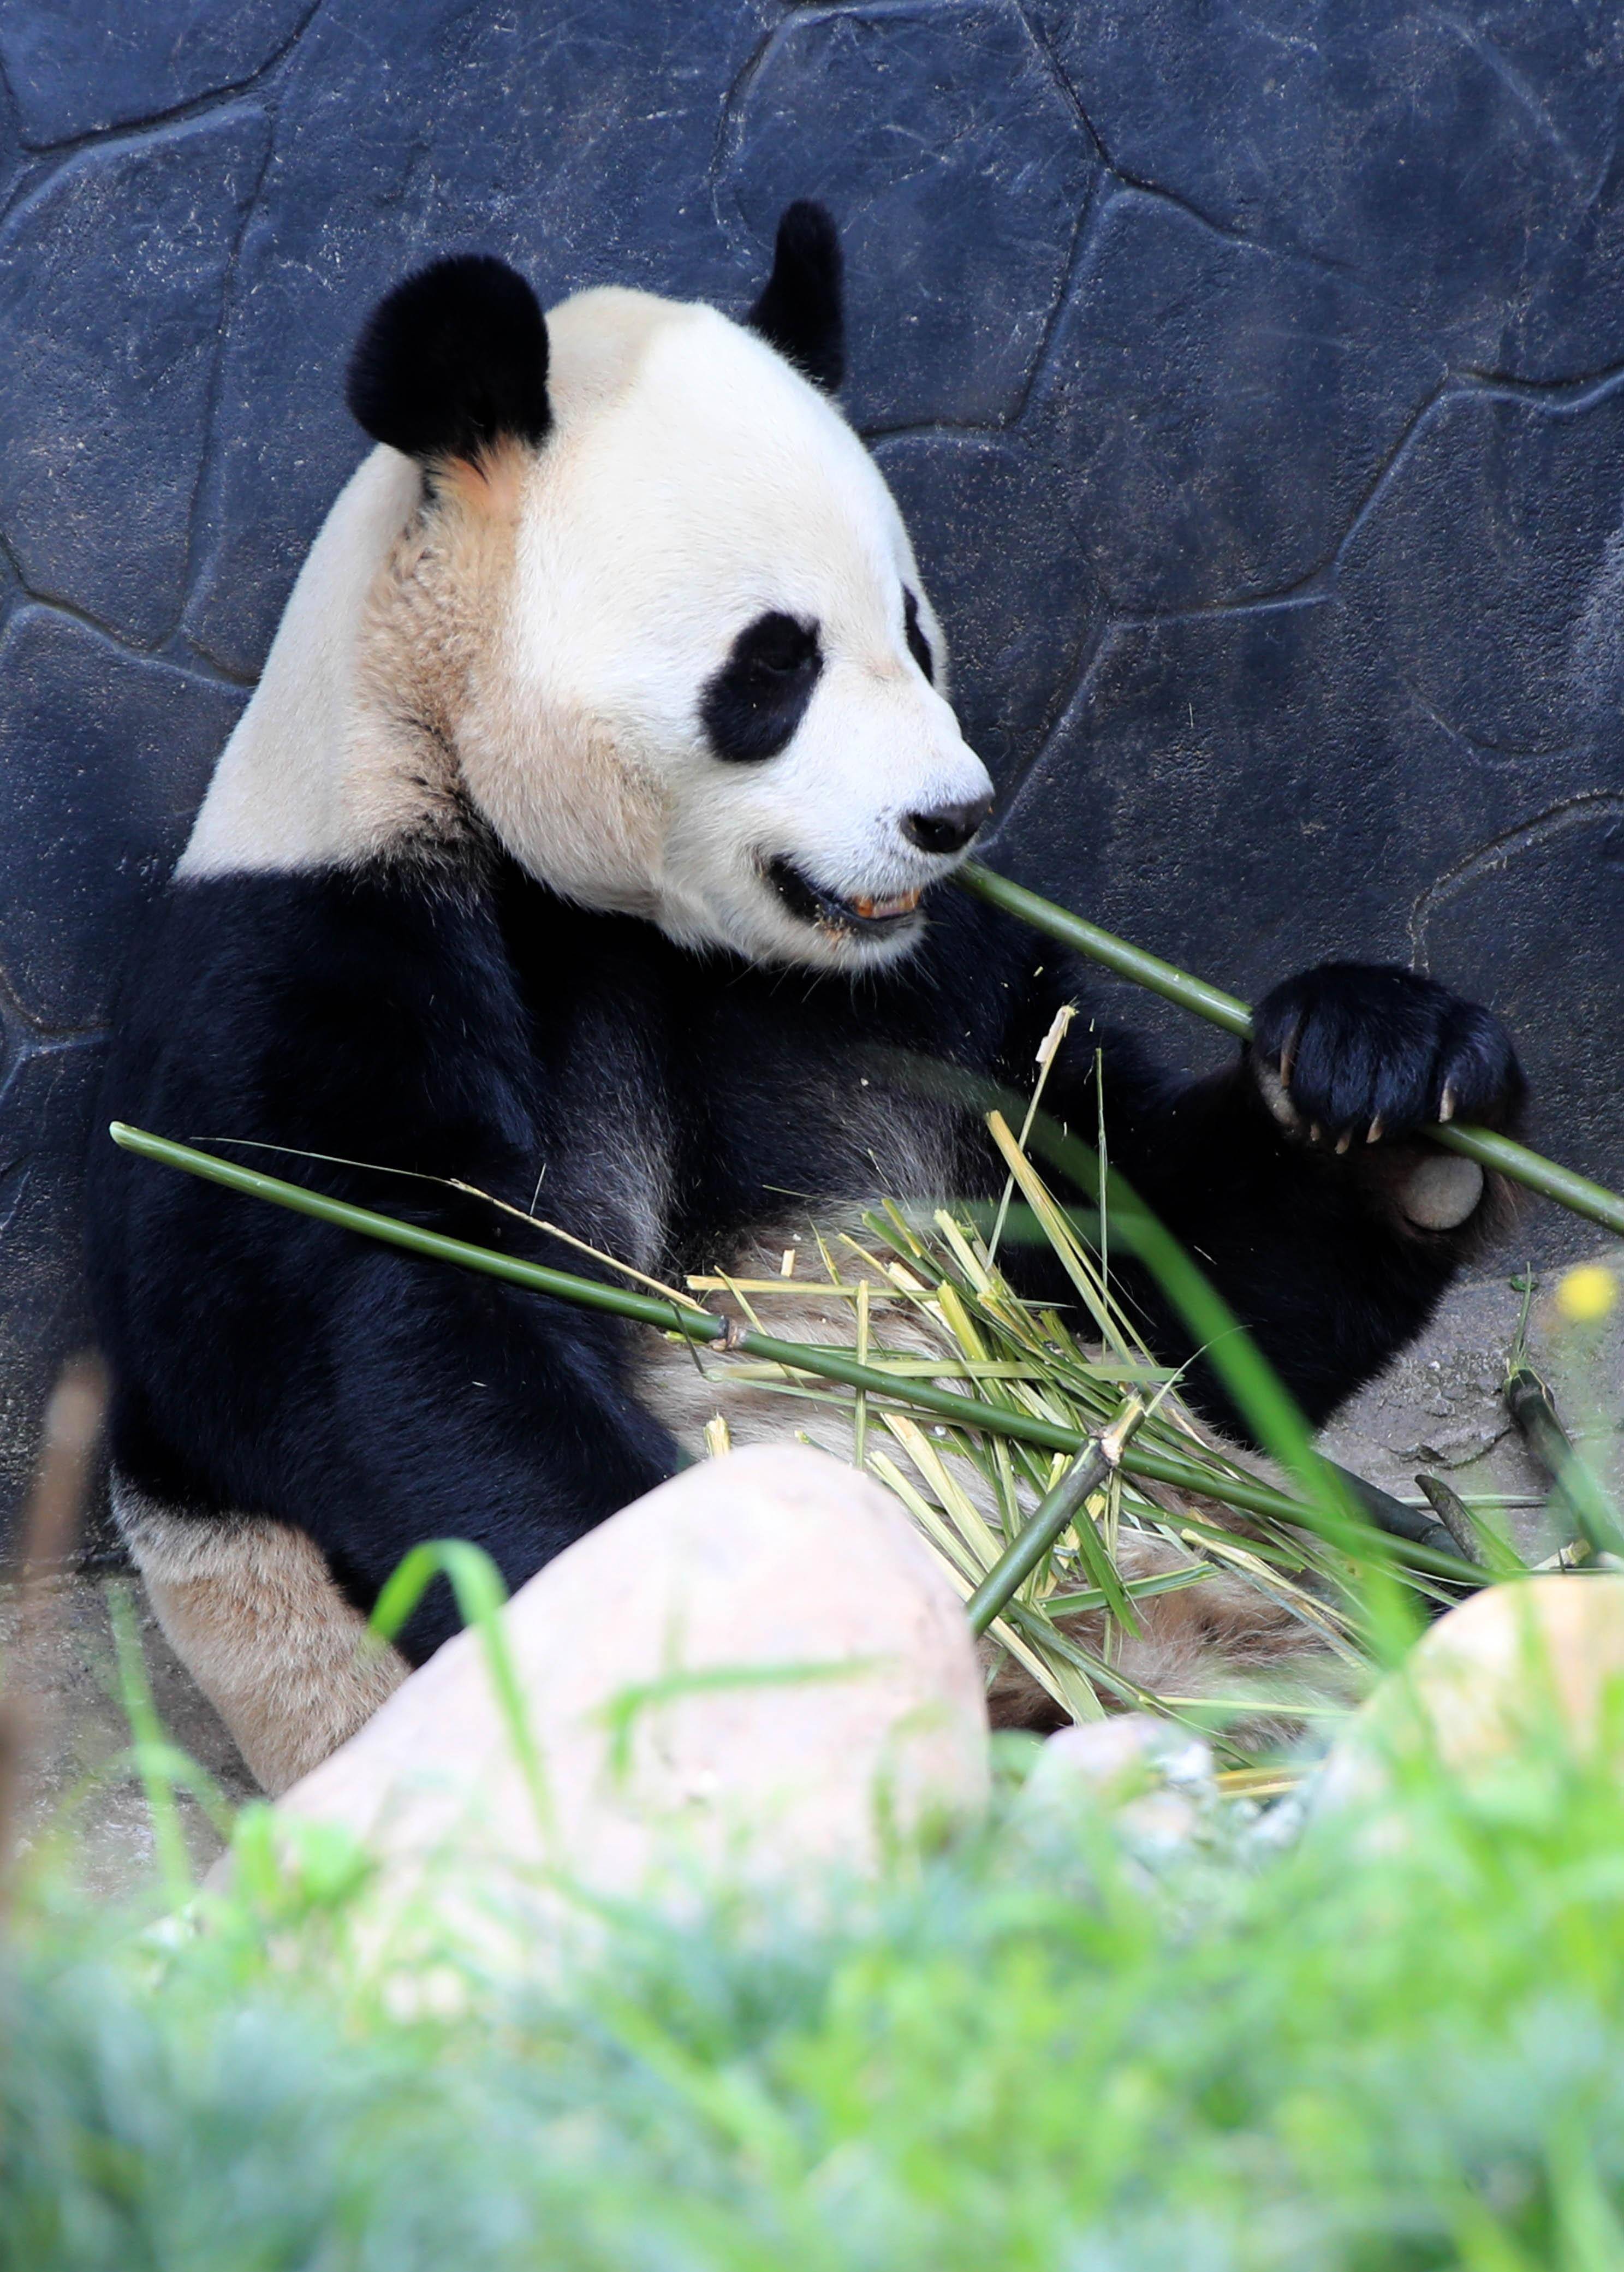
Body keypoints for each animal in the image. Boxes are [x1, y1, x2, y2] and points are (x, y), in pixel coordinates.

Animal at [86, 204, 1526, 1781]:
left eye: (913, 628)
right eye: (773, 663)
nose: (949, 816)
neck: (623, 914)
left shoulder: (937, 992)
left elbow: (1141, 1263)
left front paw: (1384, 1081)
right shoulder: (311, 969)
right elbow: (396, 1331)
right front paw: (718, 1591)